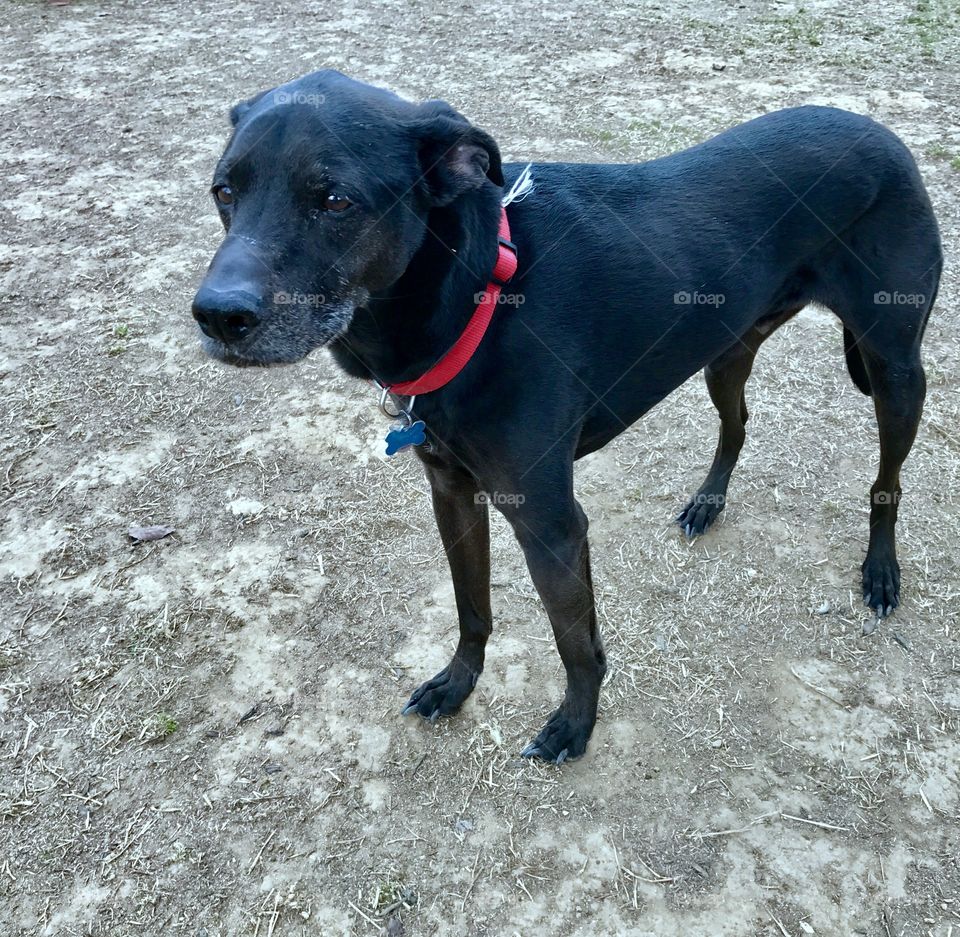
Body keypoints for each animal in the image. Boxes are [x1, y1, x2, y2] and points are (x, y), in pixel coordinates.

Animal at [191, 71, 940, 760]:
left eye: (335, 199)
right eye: (224, 191)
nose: (217, 316)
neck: (477, 294)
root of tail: (882, 133)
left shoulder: (549, 521)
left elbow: (576, 641)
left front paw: (576, 723)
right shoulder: (451, 490)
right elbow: (471, 606)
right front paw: (458, 683)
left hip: (894, 368)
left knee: (888, 481)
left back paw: (880, 570)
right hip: (725, 352)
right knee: (739, 423)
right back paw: (708, 502)